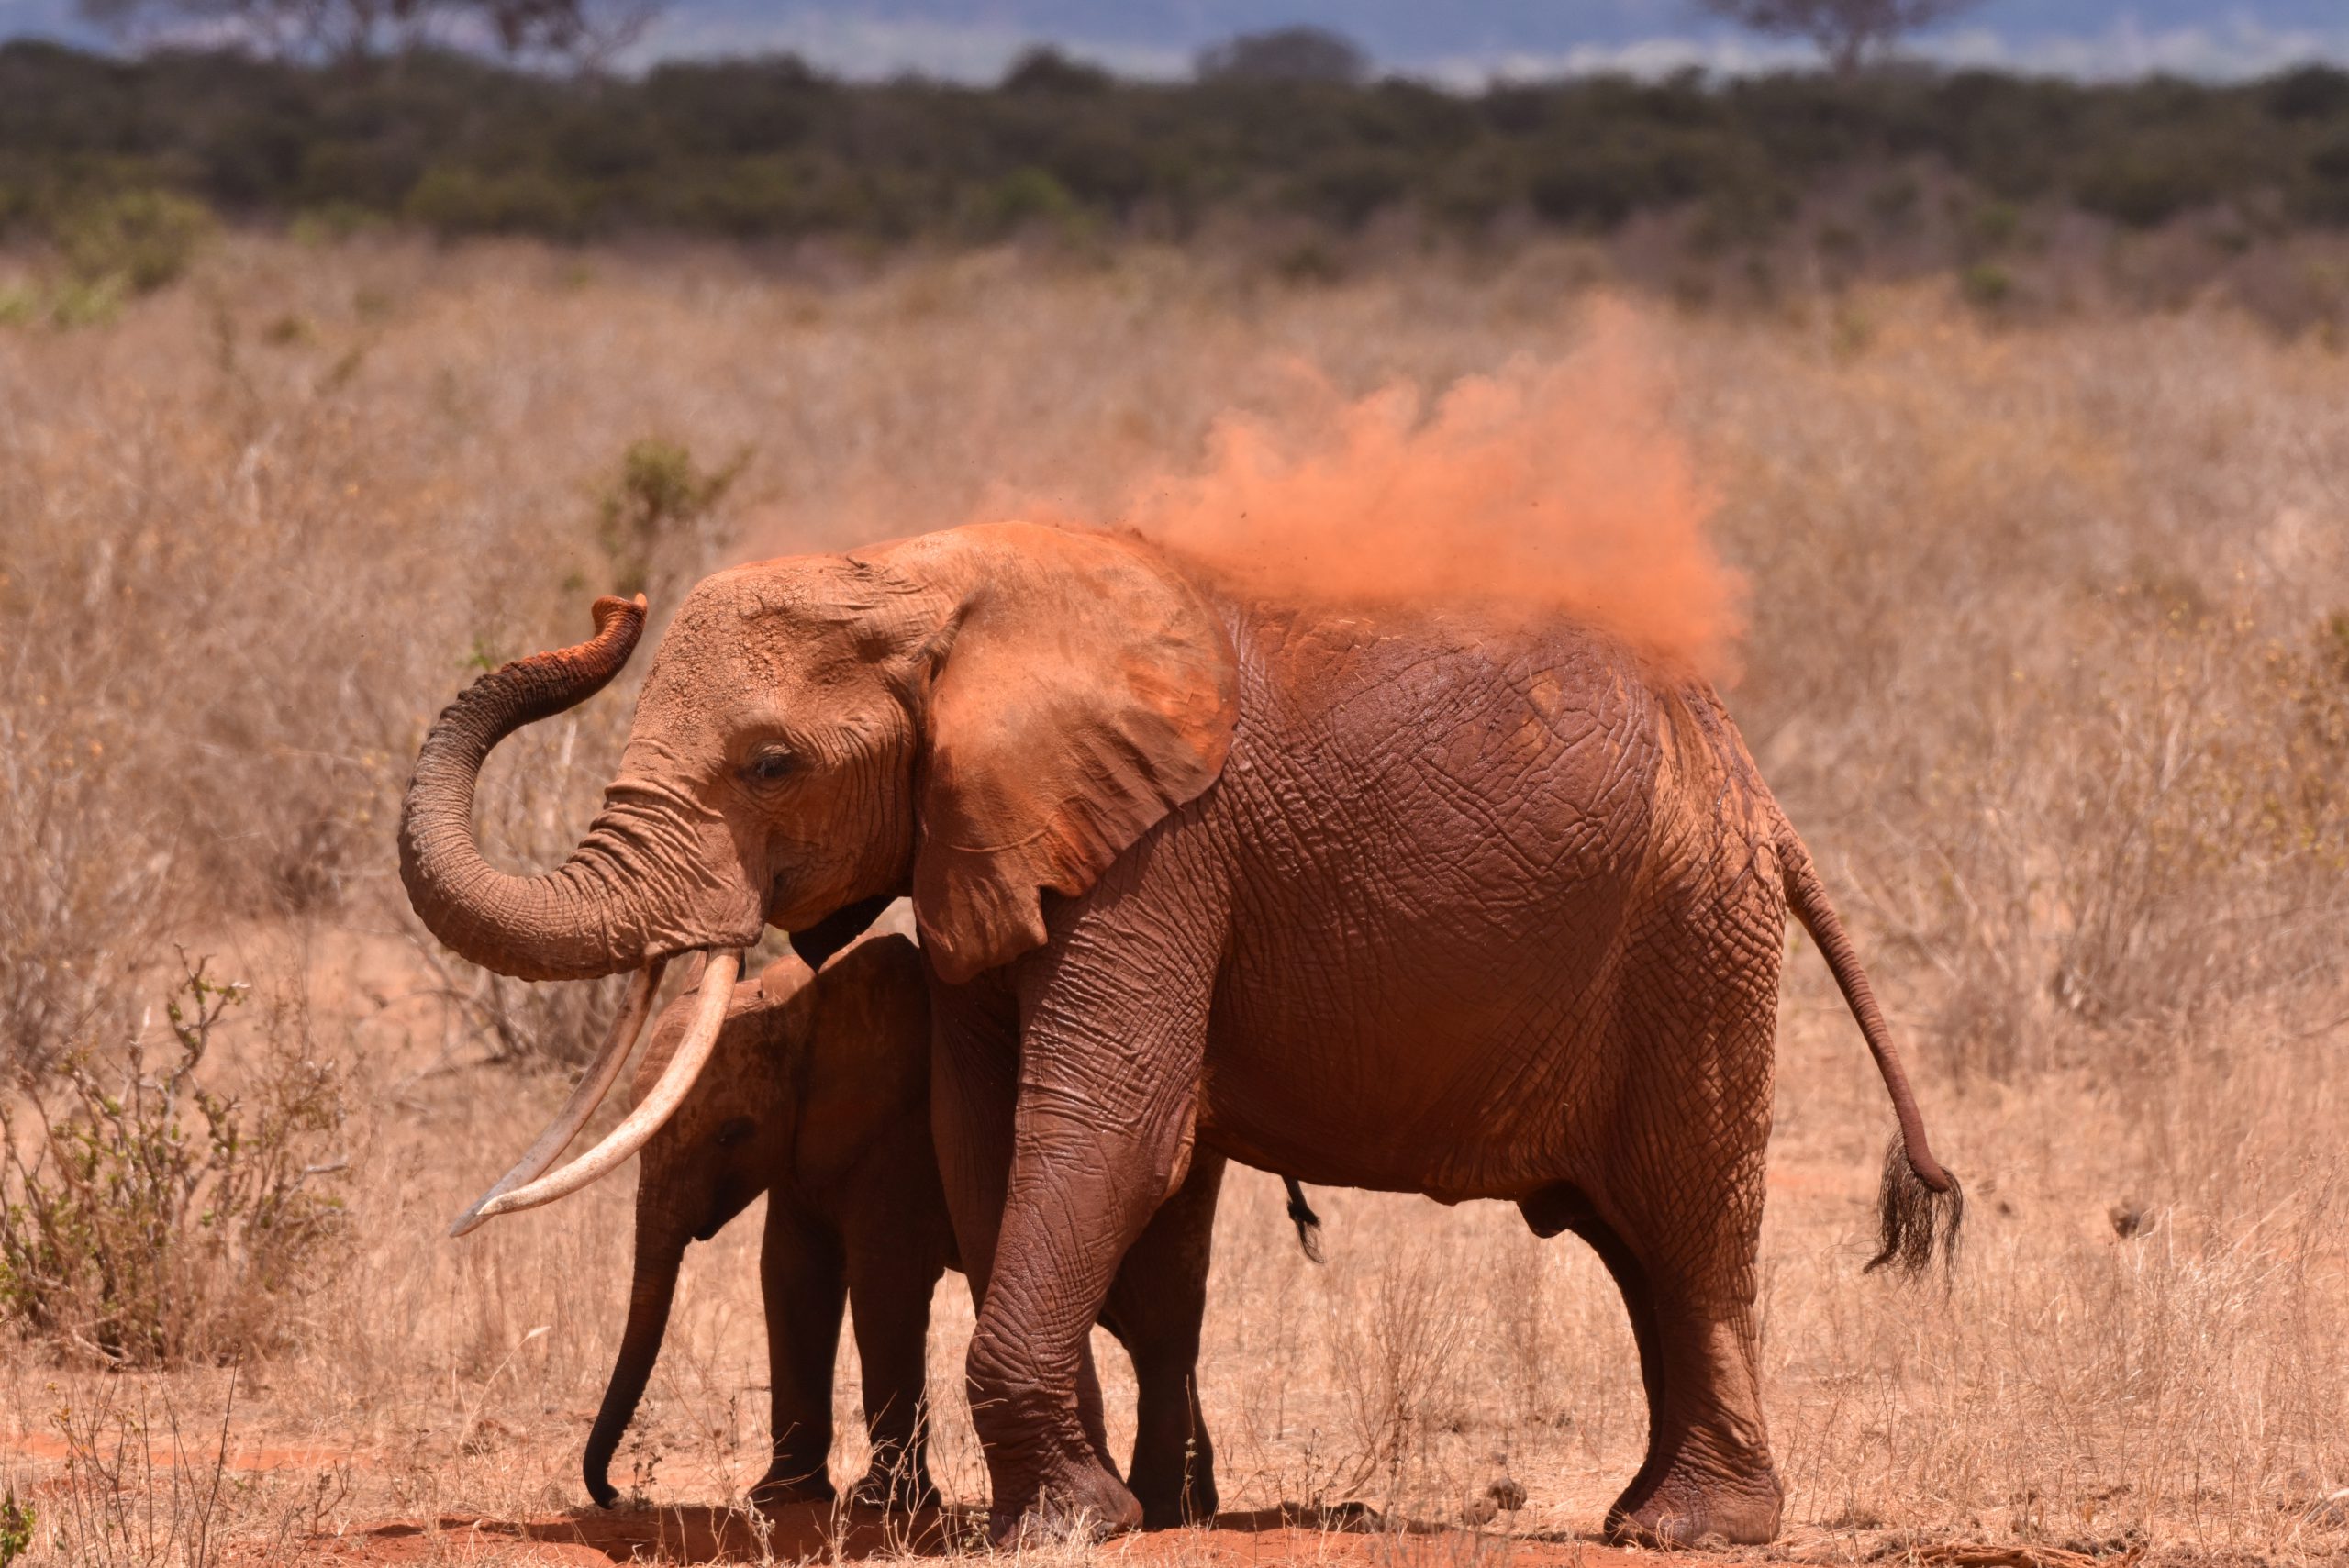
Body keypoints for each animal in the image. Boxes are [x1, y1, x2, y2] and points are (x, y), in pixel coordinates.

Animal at [578, 930, 1240, 1527]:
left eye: (730, 1133)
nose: (613, 1494)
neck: (799, 1005)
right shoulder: (804, 1145)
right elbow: (790, 1278)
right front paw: (778, 1498)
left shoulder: (897, 1136)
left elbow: (882, 1286)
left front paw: (882, 1504)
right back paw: (1188, 1506)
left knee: (1150, 1315)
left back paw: (1171, 1509)